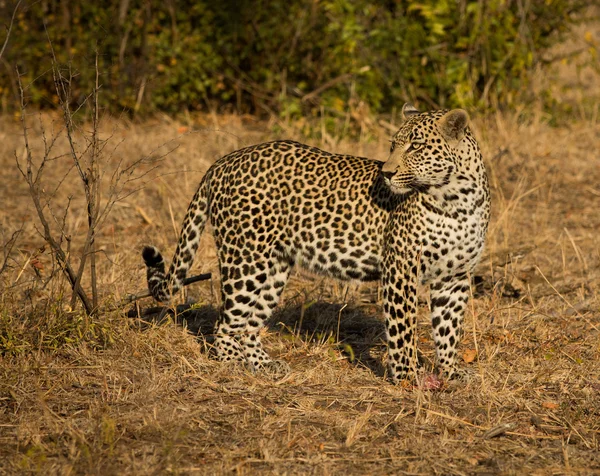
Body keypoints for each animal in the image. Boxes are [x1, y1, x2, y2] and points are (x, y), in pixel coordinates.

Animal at [143, 103, 490, 384]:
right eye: (393, 146)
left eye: (416, 147)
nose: (387, 173)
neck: (456, 199)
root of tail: (223, 161)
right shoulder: (401, 269)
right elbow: (403, 329)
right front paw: (407, 377)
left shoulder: (455, 277)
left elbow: (449, 329)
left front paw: (451, 372)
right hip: (246, 258)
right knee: (226, 325)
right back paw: (234, 365)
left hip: (273, 267)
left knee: (249, 324)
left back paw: (264, 365)